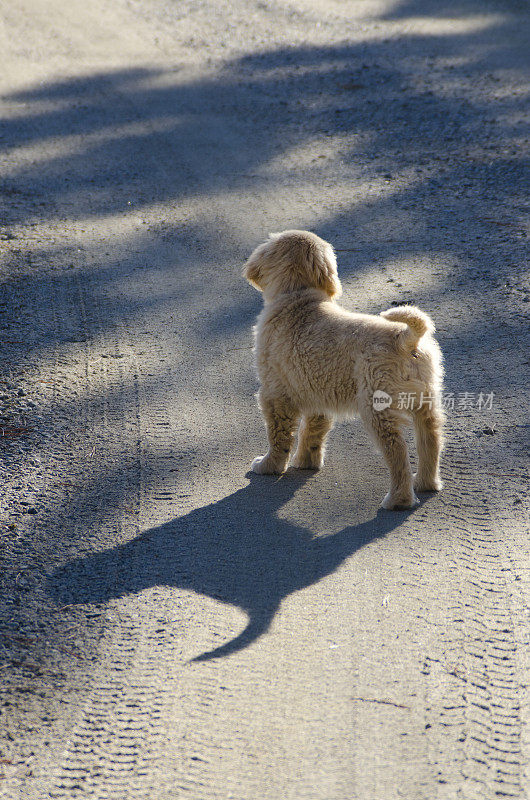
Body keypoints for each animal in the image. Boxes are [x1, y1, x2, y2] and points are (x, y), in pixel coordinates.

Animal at [242, 228, 442, 510]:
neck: (298, 295)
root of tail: (405, 338)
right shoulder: (316, 391)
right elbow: (312, 431)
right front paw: (306, 462)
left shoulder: (274, 392)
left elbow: (279, 435)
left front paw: (269, 466)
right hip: (426, 401)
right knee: (431, 441)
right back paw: (425, 483)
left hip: (377, 408)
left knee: (397, 451)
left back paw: (398, 500)